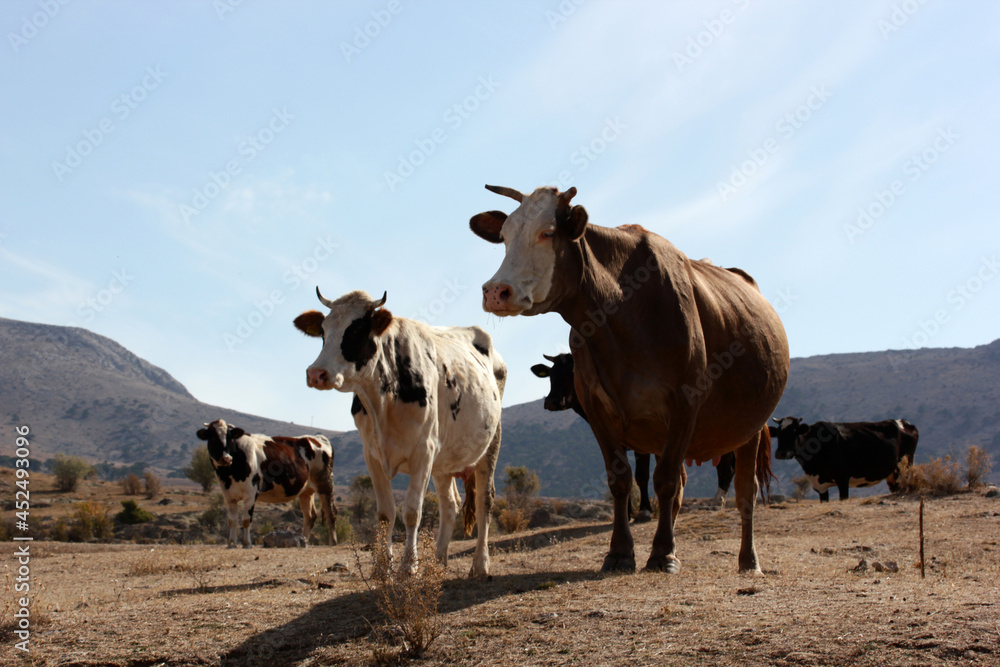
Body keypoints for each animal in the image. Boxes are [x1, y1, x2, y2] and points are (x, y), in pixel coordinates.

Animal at [195, 419, 337, 549]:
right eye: (213, 438)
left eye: (229, 438)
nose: (226, 458)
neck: (229, 473)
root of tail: (316, 438)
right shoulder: (229, 495)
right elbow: (232, 520)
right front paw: (231, 543)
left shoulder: (251, 492)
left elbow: (246, 520)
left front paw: (247, 544)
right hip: (306, 491)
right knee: (310, 516)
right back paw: (304, 540)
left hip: (325, 484)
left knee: (330, 513)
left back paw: (332, 542)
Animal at [293, 289, 505, 578]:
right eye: (323, 331)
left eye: (356, 329)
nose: (316, 373)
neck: (382, 401)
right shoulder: (372, 454)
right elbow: (385, 513)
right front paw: (383, 566)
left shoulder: (423, 452)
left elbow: (412, 512)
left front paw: (408, 566)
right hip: (443, 460)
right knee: (450, 505)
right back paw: (438, 561)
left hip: (490, 444)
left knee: (485, 500)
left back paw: (480, 564)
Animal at [531, 352, 738, 512]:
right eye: (551, 374)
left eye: (571, 373)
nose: (551, 401)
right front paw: (628, 512)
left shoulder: (643, 445)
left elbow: (641, 476)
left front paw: (644, 511)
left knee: (726, 466)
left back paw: (716, 502)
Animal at [770, 416, 919, 501]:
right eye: (778, 433)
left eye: (794, 432)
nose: (781, 453)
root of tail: (905, 423)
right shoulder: (820, 487)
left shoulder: (843, 479)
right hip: (891, 475)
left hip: (905, 465)